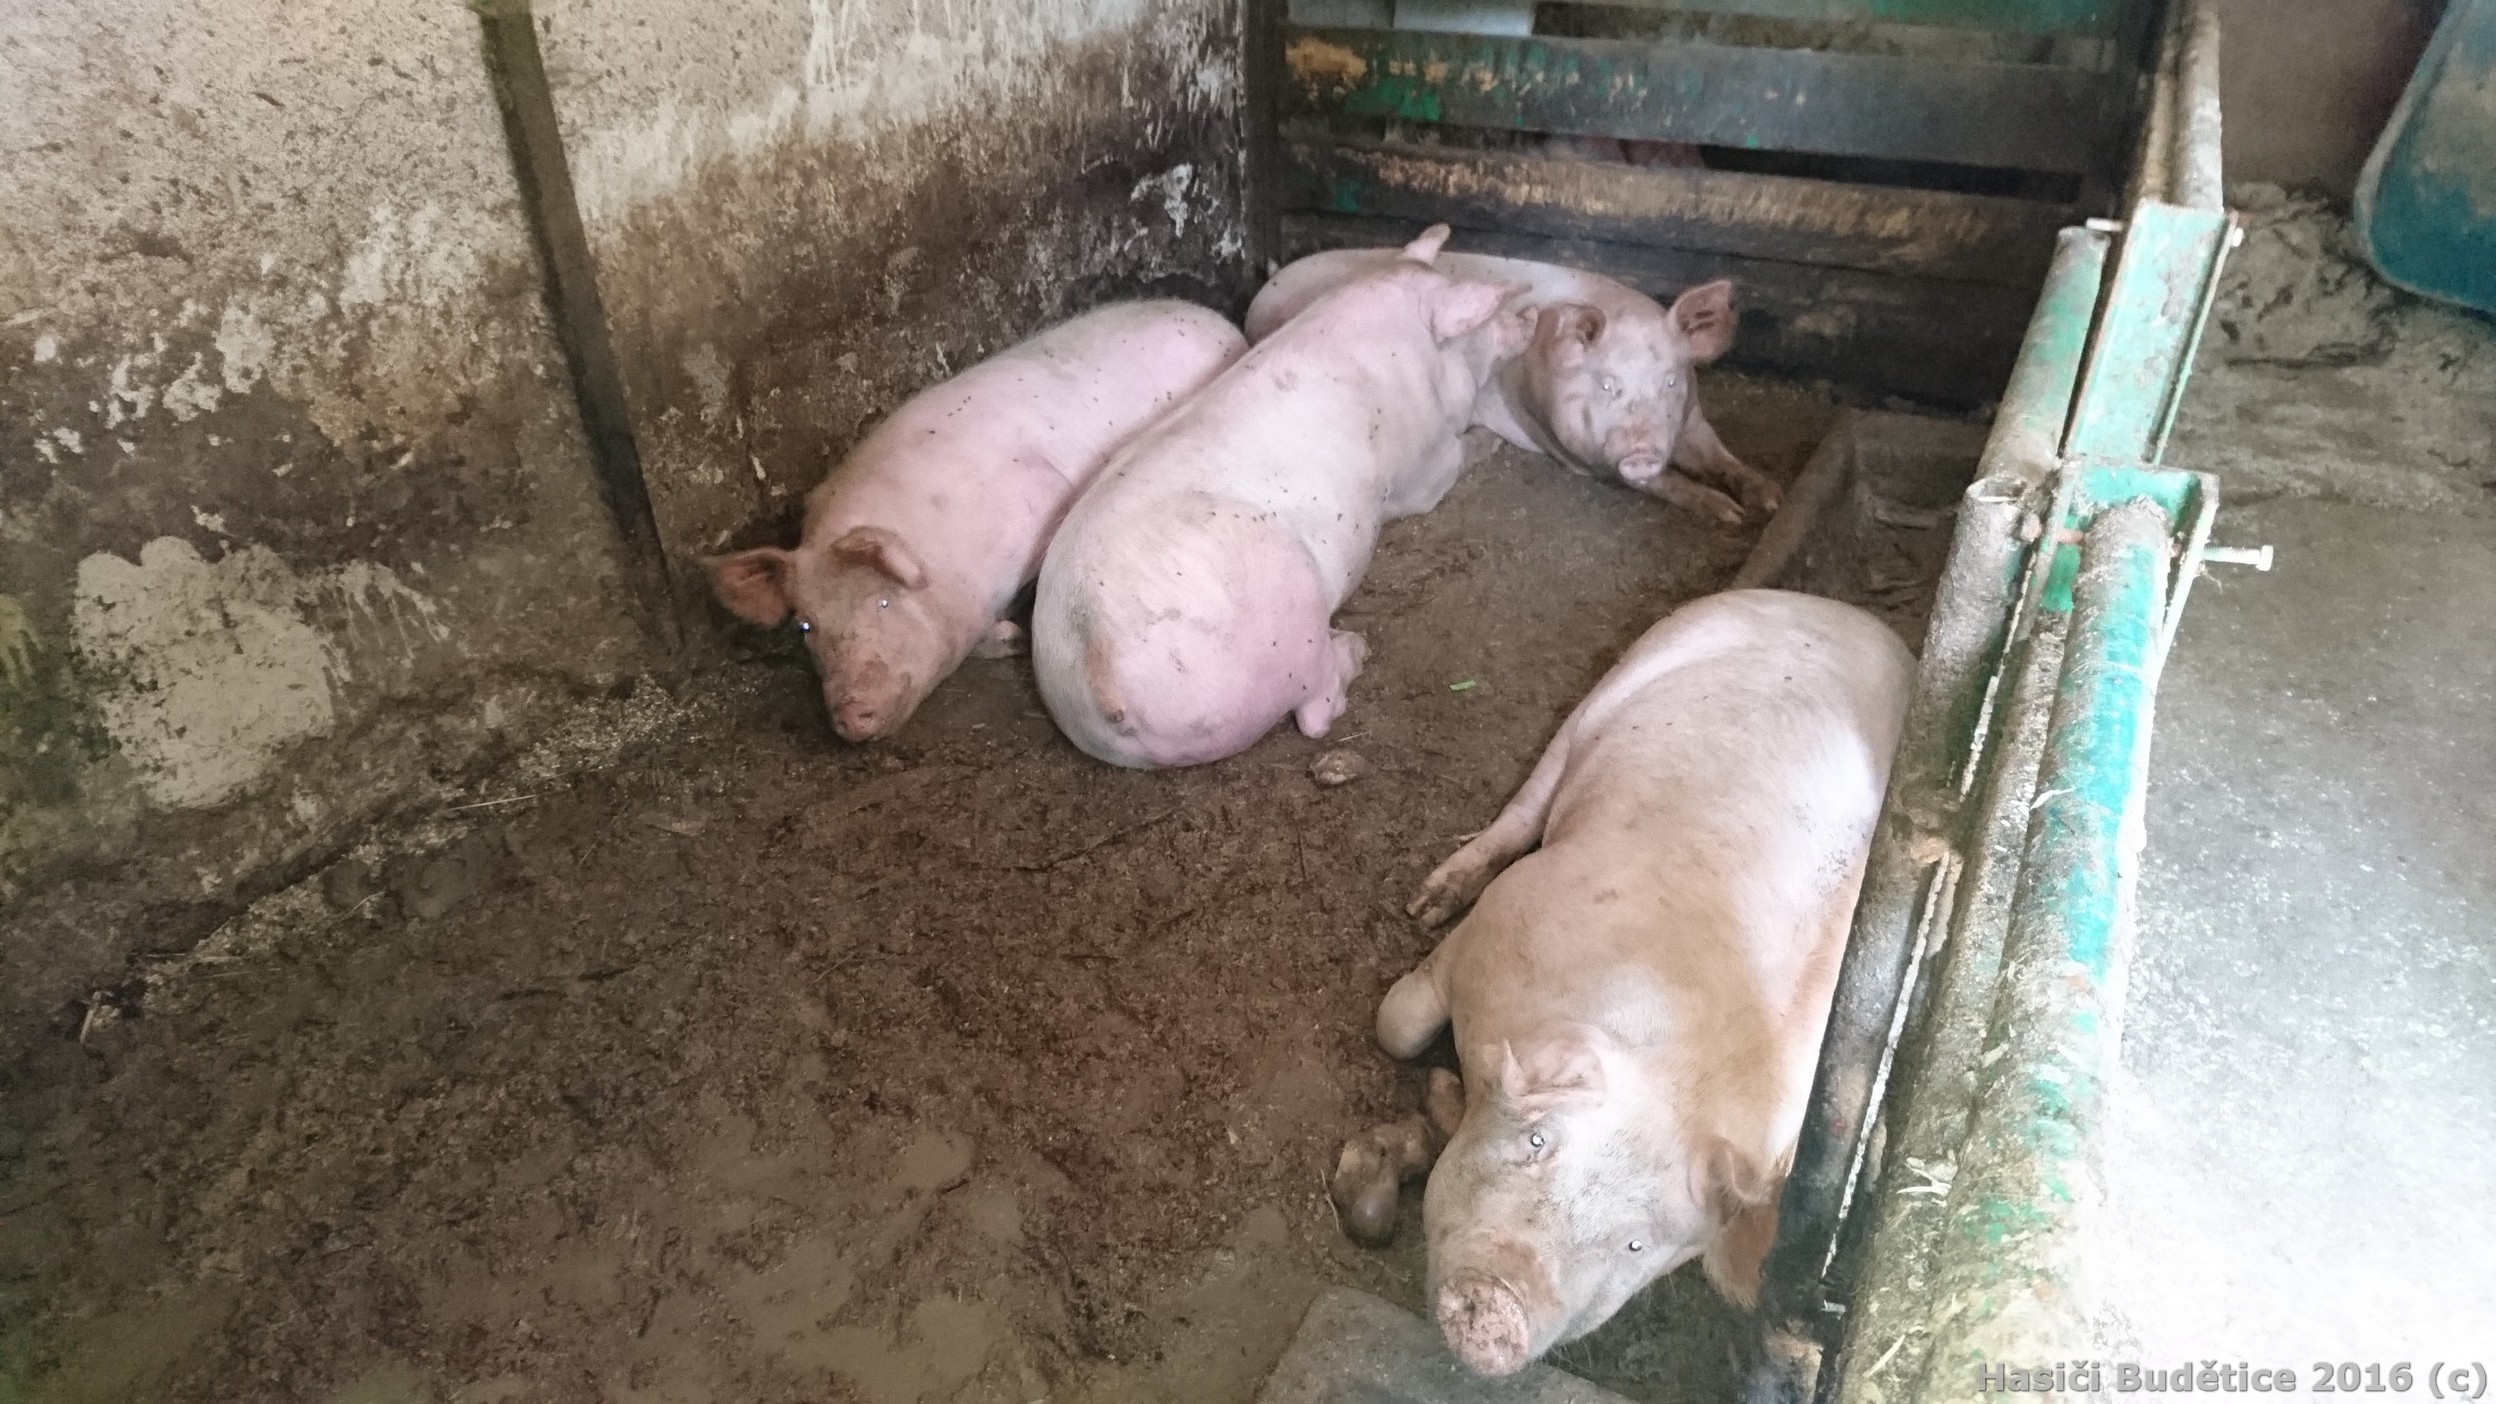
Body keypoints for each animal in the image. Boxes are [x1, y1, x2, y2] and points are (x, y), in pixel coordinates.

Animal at [702, 300, 1246, 742]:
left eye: (883, 601)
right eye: (806, 626)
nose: (852, 714)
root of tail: (1211, 315)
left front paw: (1016, 636)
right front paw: (1009, 638)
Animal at [1033, 225, 1532, 769]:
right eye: (1484, 320)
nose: (1530, 316)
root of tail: (1096, 668)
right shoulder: (1425, 462)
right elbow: (1450, 465)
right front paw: (1492, 440)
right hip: (1290, 622)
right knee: (1317, 710)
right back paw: (1357, 647)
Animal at [1245, 247, 1779, 525]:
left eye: (1670, 380)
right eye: (1607, 385)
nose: (1642, 449)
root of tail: (1264, 292)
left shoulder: (1693, 421)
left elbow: (1721, 456)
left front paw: (1767, 500)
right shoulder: (1575, 452)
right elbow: (1661, 482)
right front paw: (1729, 514)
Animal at [1376, 589, 1912, 1376]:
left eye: (1633, 1244)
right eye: (1538, 1142)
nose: (1499, 1308)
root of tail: (1848, 613)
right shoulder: (1505, 915)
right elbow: (1398, 1024)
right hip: (1636, 666)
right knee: (1528, 804)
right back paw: (1431, 897)